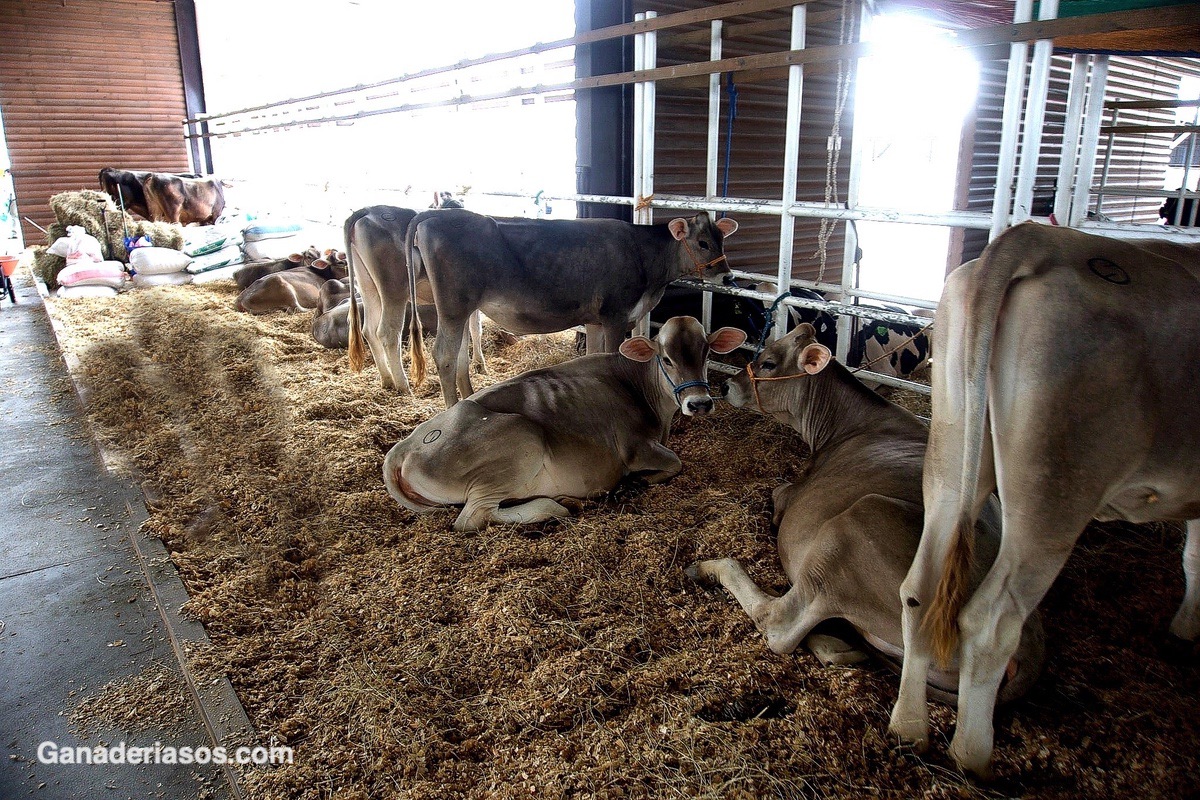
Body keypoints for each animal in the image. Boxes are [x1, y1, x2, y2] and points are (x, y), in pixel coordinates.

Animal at [384, 316, 744, 532]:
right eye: (666, 358)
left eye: (706, 352)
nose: (699, 403)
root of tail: (404, 446)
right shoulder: (635, 447)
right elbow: (675, 462)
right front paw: (637, 482)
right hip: (521, 441)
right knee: (472, 518)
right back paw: (555, 507)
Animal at [691, 321, 1046, 705]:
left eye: (768, 362)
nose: (726, 385)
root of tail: (1027, 645)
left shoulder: (794, 493)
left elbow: (777, 492)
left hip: (851, 530)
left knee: (781, 623)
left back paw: (707, 568)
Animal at [888, 224, 1200, 777]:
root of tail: (1034, 240)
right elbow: (1197, 557)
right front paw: (1187, 631)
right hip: (1054, 489)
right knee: (990, 624)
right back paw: (974, 757)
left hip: (952, 454)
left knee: (920, 589)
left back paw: (908, 728)